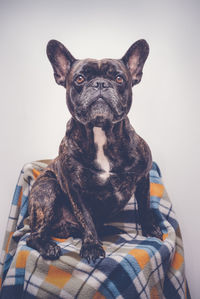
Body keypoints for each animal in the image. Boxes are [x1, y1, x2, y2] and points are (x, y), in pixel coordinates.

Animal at [26, 39, 162, 262]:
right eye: (80, 79)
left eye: (119, 78)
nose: (100, 84)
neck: (100, 131)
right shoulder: (75, 189)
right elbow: (86, 219)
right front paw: (91, 246)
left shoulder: (143, 177)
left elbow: (144, 206)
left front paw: (150, 229)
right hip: (48, 189)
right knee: (33, 235)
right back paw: (48, 247)